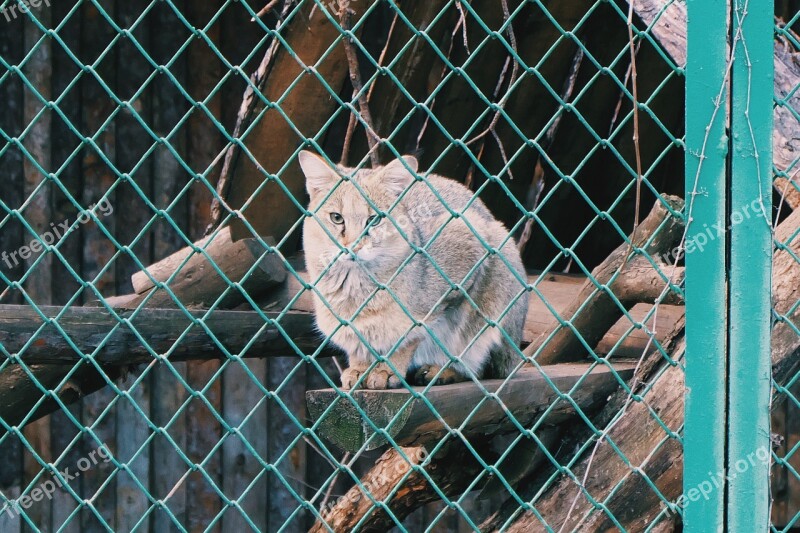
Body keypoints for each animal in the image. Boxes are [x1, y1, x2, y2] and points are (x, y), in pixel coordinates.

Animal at [296, 152, 528, 388]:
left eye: (374, 220)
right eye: (336, 217)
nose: (352, 245)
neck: (356, 290)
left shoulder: (467, 247)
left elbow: (411, 337)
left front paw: (388, 369)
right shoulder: (346, 326)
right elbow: (359, 344)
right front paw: (359, 368)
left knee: (481, 366)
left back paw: (442, 371)